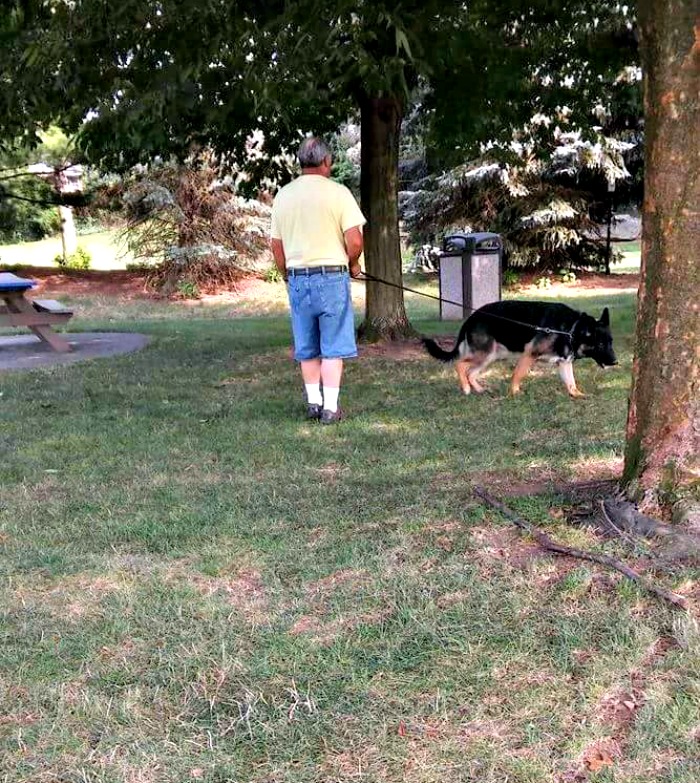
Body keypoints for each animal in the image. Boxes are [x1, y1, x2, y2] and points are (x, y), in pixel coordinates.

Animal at [422, 300, 617, 397]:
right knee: (460, 365)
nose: (615, 362)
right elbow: (518, 374)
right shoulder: (529, 355)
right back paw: (466, 388)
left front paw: (577, 395)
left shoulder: (564, 363)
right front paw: (515, 393)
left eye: (611, 342)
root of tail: (471, 317)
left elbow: (571, 383)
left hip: (491, 356)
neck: (571, 329)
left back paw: (479, 389)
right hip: (484, 354)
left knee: (471, 373)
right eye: (601, 344)